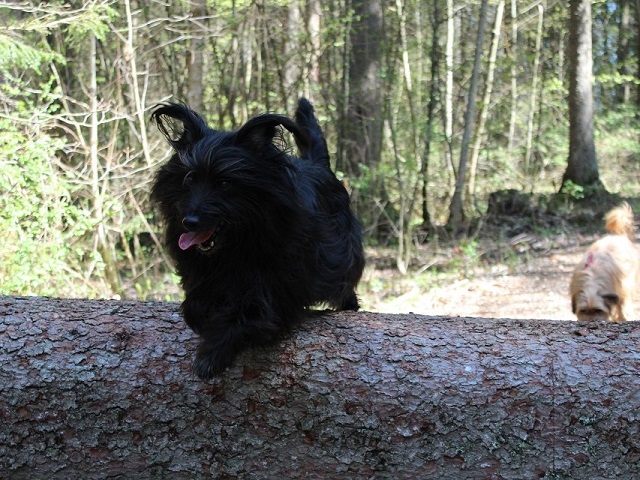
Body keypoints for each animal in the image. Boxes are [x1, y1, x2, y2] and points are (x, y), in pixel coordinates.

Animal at [151, 98, 365, 379]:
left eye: (225, 183)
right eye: (189, 179)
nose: (190, 221)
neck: (239, 243)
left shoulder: (277, 286)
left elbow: (251, 317)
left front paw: (211, 354)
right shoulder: (203, 275)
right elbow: (193, 308)